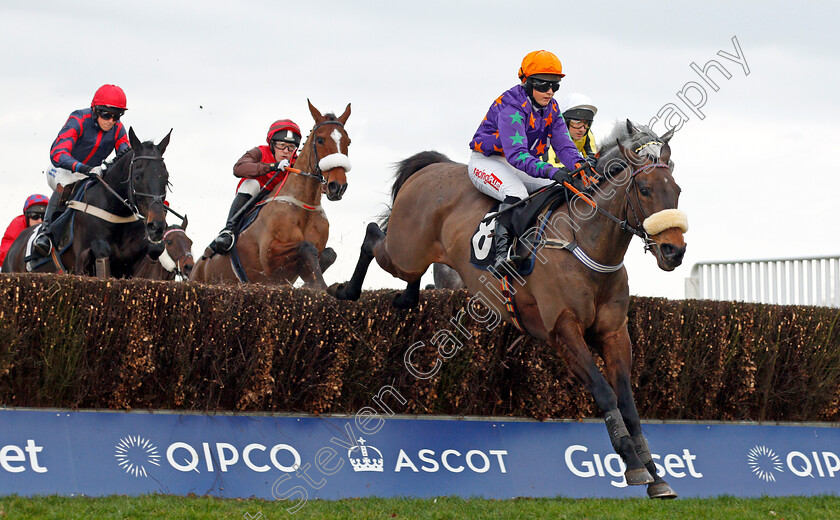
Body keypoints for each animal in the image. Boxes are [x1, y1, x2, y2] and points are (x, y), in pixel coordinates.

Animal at [2, 128, 171, 278]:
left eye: (166, 177)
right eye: (137, 176)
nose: (157, 226)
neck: (115, 212)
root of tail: (13, 247)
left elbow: (156, 249)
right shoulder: (81, 259)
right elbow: (101, 249)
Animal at [189, 101, 350, 288]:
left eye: (348, 142)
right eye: (320, 140)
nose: (337, 186)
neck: (303, 204)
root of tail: (196, 266)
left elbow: (328, 254)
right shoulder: (269, 259)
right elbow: (306, 246)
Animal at [334, 120, 688, 498]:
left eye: (677, 189)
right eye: (645, 190)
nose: (674, 251)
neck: (587, 243)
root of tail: (432, 167)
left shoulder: (614, 333)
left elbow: (629, 404)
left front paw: (656, 474)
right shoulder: (563, 331)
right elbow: (605, 393)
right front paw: (633, 465)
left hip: (415, 256)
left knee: (405, 272)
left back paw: (404, 298)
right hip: (405, 250)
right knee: (373, 235)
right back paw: (346, 290)